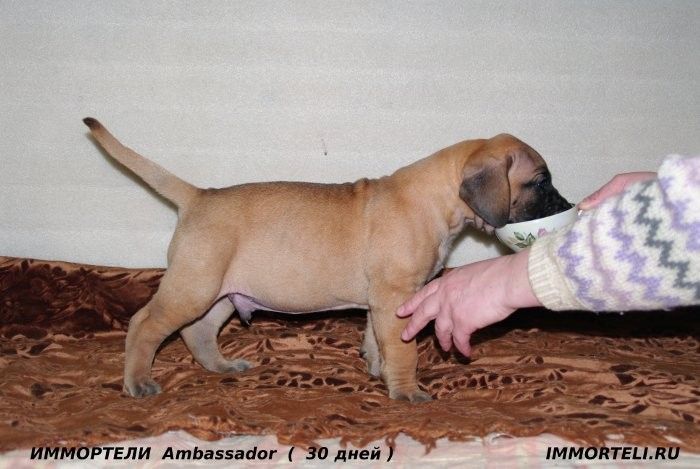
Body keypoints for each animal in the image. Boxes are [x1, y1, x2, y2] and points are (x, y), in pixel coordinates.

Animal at [82, 118, 570, 402]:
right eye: (540, 182)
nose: (566, 204)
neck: (438, 198)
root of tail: (198, 196)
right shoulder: (396, 296)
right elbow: (404, 348)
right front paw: (407, 391)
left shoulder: (383, 301)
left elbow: (377, 339)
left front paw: (377, 370)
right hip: (194, 285)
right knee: (145, 324)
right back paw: (138, 382)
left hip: (220, 290)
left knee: (197, 331)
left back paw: (222, 367)